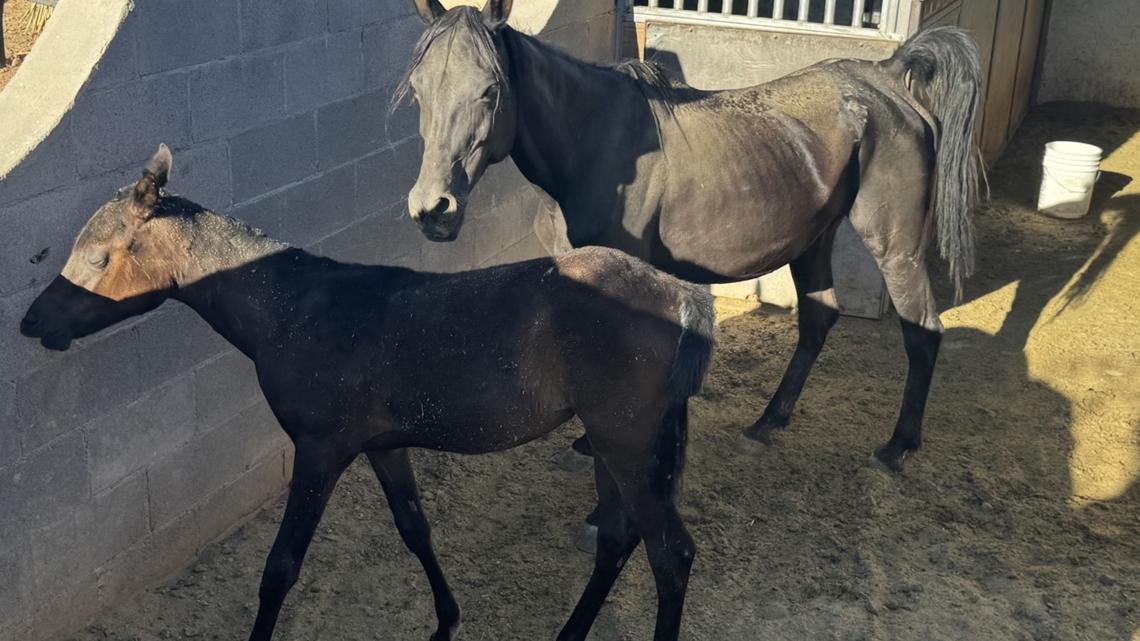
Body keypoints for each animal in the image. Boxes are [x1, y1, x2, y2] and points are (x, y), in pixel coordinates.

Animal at [20, 145, 715, 641]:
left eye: (99, 258)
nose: (32, 323)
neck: (292, 310)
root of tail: (680, 296)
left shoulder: (320, 449)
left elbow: (280, 568)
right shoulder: (382, 446)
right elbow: (414, 529)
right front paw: (445, 620)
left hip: (628, 443)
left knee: (671, 553)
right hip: (611, 444)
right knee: (619, 539)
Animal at [399, 0, 983, 472]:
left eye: (490, 89)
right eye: (418, 90)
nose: (434, 209)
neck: (593, 144)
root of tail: (888, 75)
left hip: (895, 244)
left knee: (923, 331)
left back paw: (897, 447)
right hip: (814, 237)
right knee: (818, 320)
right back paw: (768, 423)